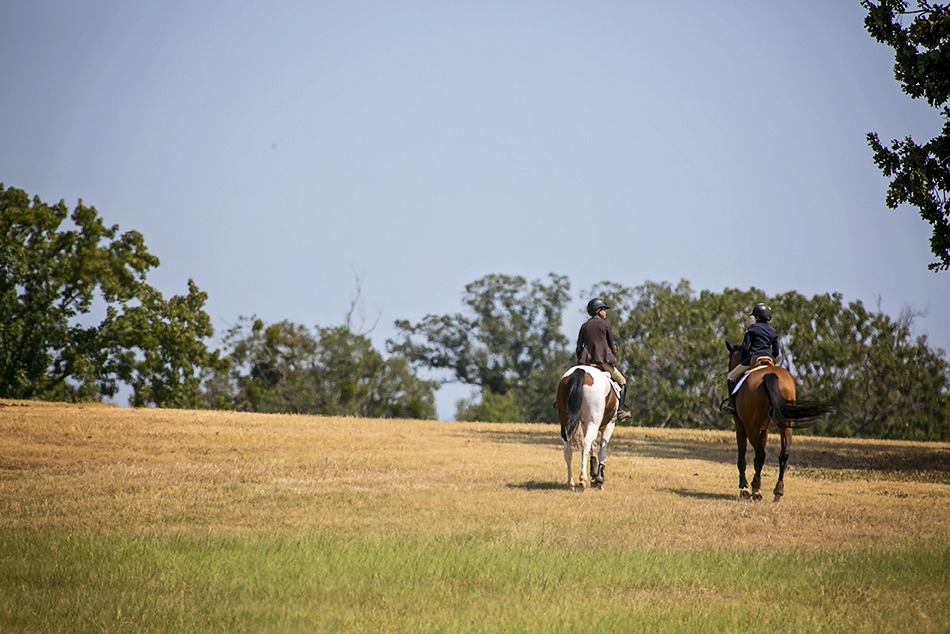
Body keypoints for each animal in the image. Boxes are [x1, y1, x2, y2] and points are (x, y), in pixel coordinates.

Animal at [725, 340, 832, 501]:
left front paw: (744, 488)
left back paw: (756, 490)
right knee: (784, 454)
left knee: (761, 454)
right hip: (785, 426)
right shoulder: (763, 429)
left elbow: (743, 458)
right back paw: (777, 491)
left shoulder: (741, 426)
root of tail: (770, 374)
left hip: (751, 427)